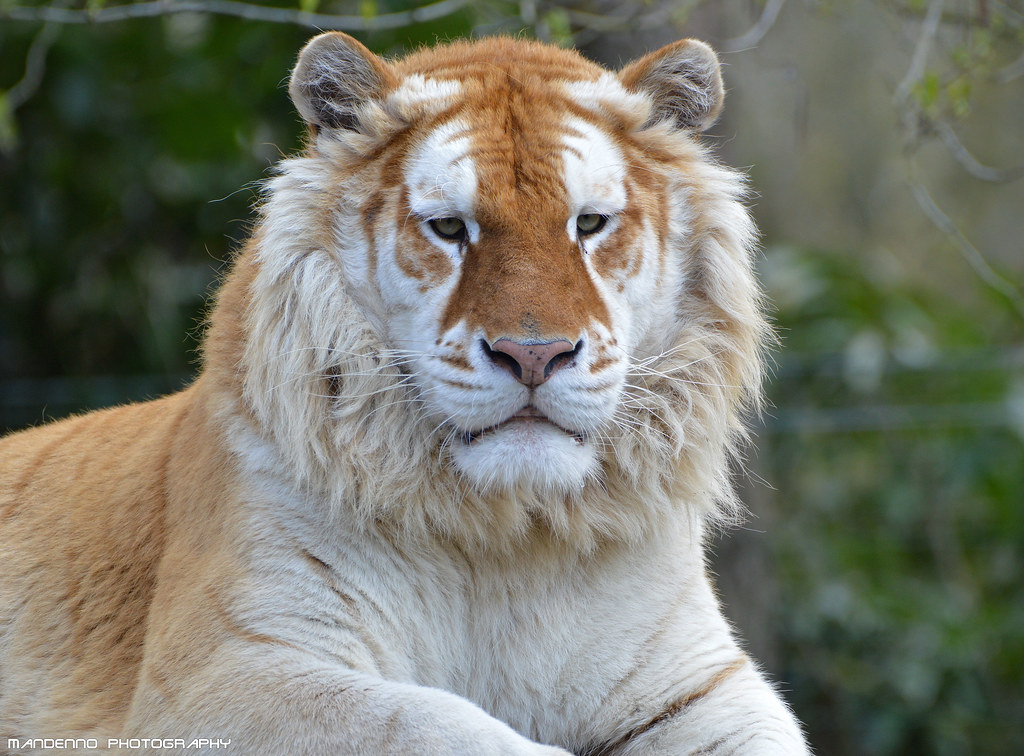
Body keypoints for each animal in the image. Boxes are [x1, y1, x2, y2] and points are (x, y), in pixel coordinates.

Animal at [0, 32, 809, 755]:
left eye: (589, 224)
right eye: (450, 227)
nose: (535, 355)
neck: (508, 542)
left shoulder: (699, 683)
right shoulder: (226, 670)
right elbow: (433, 723)